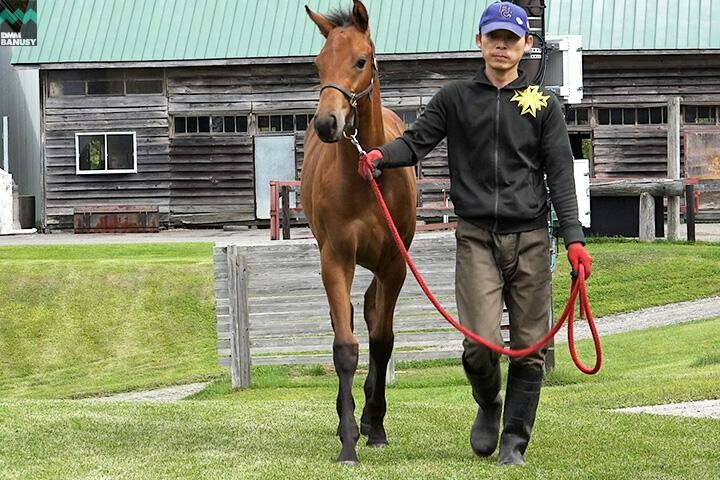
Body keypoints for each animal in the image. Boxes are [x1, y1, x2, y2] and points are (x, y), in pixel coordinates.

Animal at [300, 0, 416, 464]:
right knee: (347, 317)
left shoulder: (394, 264)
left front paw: (376, 426)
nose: (327, 124)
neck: (366, 178)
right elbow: (345, 347)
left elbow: (382, 342)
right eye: (318, 63)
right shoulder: (335, 257)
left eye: (361, 60)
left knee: (369, 313)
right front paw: (348, 441)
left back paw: (370, 417)